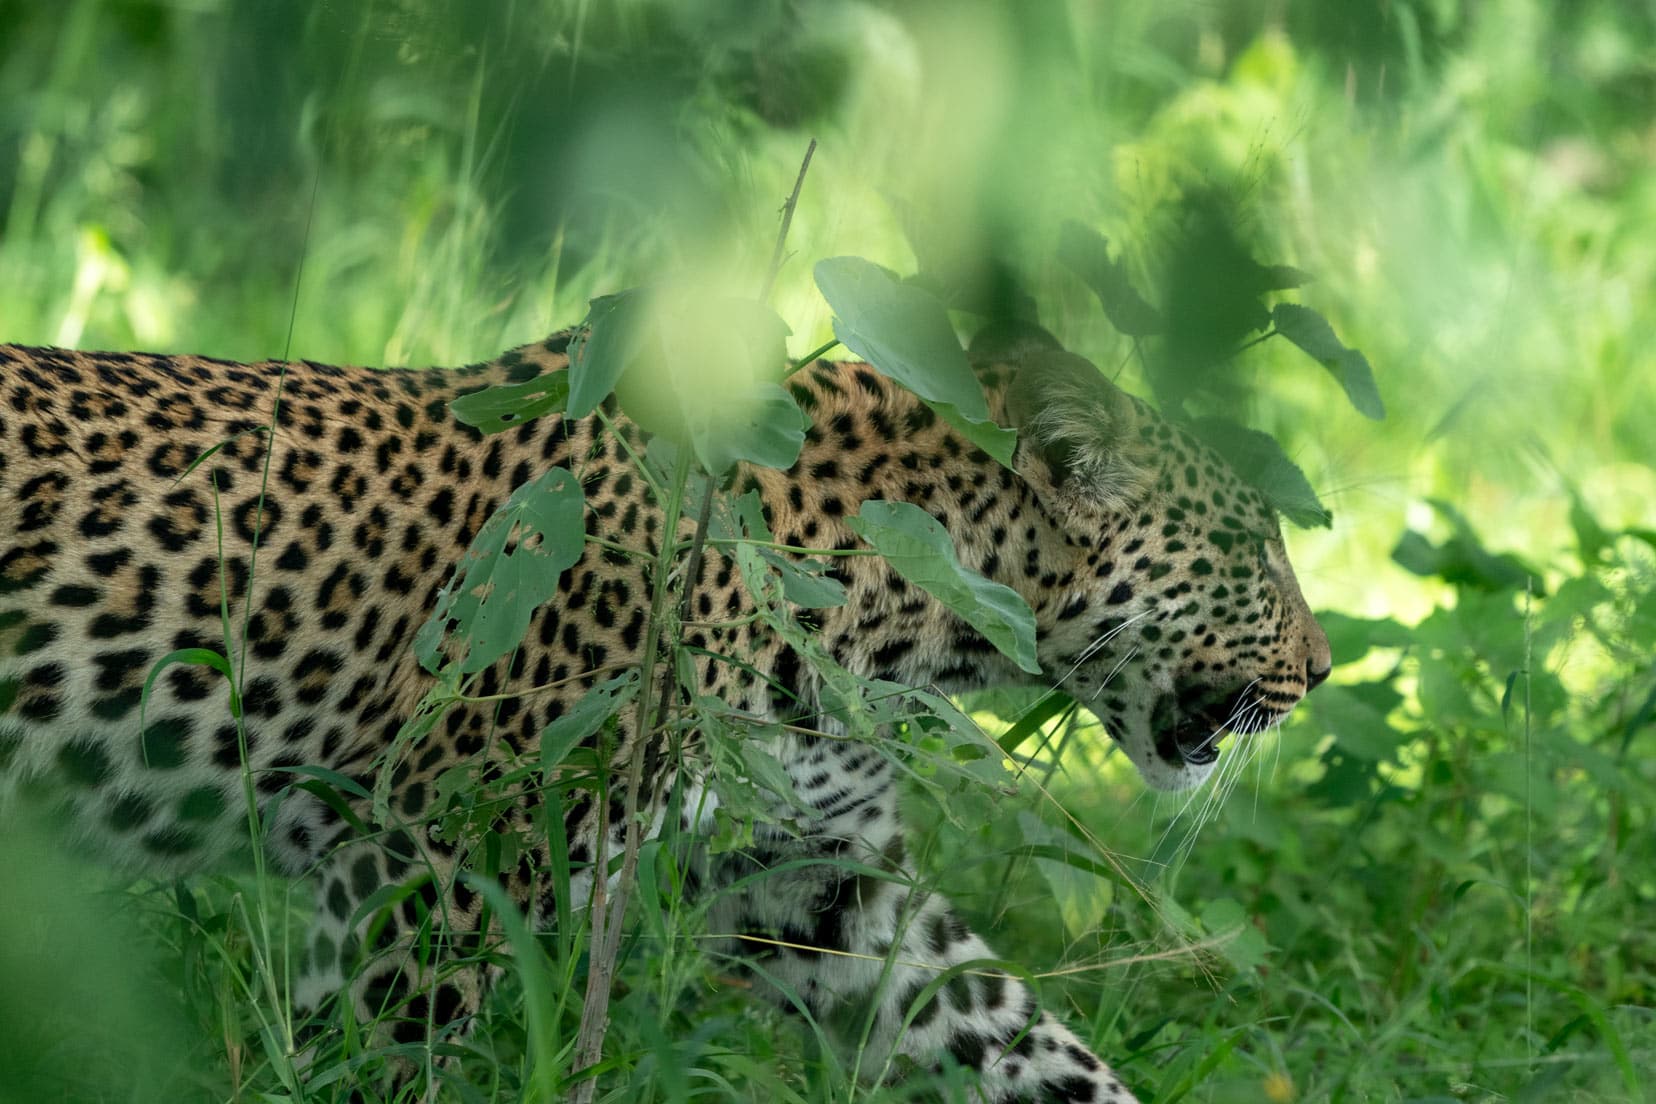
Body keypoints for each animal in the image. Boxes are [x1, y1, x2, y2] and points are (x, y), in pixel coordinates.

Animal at [0, 314, 1331, 1099]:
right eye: (1259, 552)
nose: (1321, 670)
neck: (909, 618)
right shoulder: (441, 860)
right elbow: (393, 1061)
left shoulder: (815, 872)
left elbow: (1013, 1030)